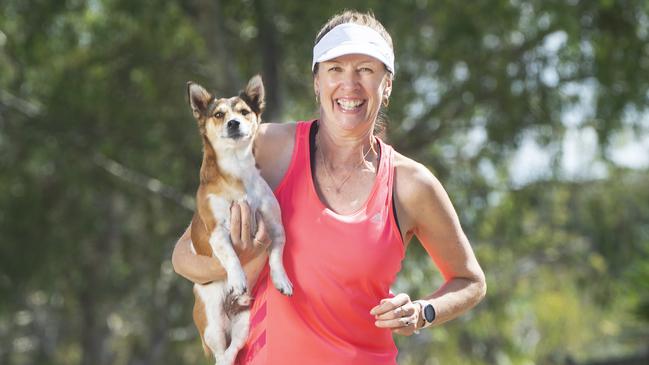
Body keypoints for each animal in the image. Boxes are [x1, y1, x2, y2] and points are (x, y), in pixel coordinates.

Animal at [186, 75, 290, 362]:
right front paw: (238, 278)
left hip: (245, 324)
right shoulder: (218, 233)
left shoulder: (275, 228)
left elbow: (276, 255)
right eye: (219, 115)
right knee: (221, 355)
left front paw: (282, 279)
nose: (234, 123)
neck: (237, 170)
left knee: (233, 351)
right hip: (212, 324)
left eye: (244, 112)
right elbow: (232, 256)